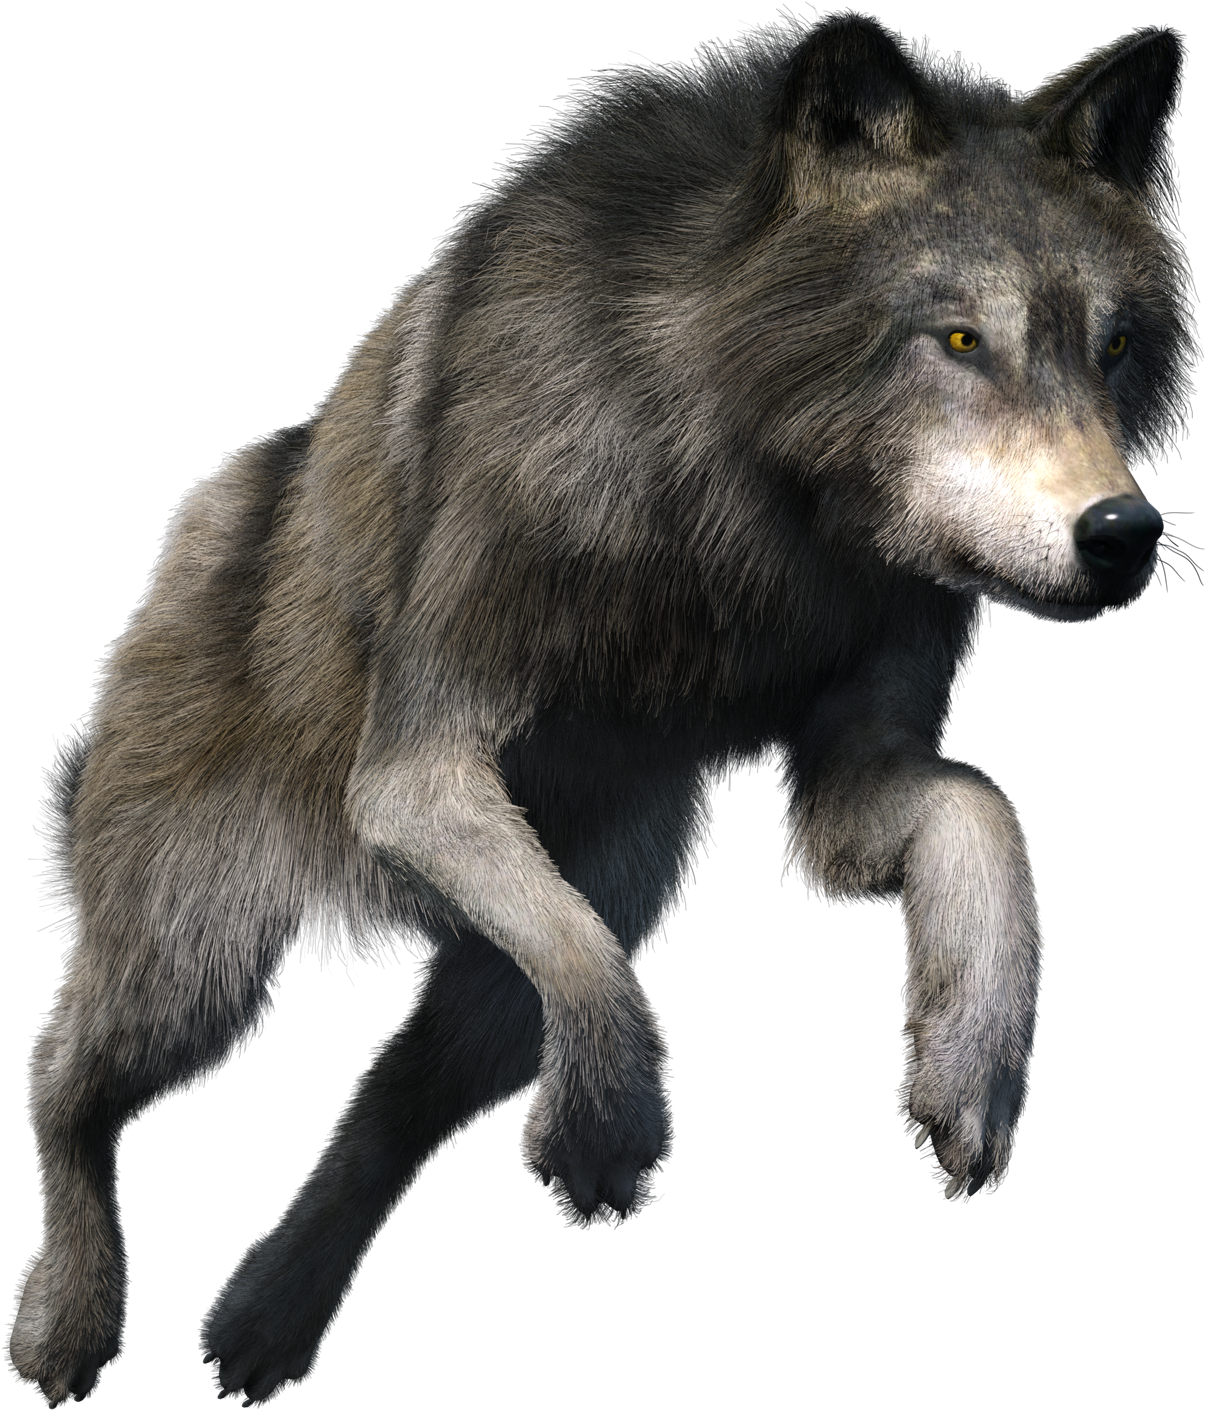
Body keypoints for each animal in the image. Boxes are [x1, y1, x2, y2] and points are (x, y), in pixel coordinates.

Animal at [10, 15, 1191, 1407]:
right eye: (959, 341)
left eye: (1112, 348)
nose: (1123, 534)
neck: (738, 506)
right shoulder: (417, 766)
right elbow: (591, 974)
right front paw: (607, 1138)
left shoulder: (853, 783)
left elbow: (984, 810)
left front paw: (972, 1067)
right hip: (189, 987)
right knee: (63, 1086)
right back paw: (68, 1326)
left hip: (527, 964)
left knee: (389, 1112)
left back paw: (267, 1321)